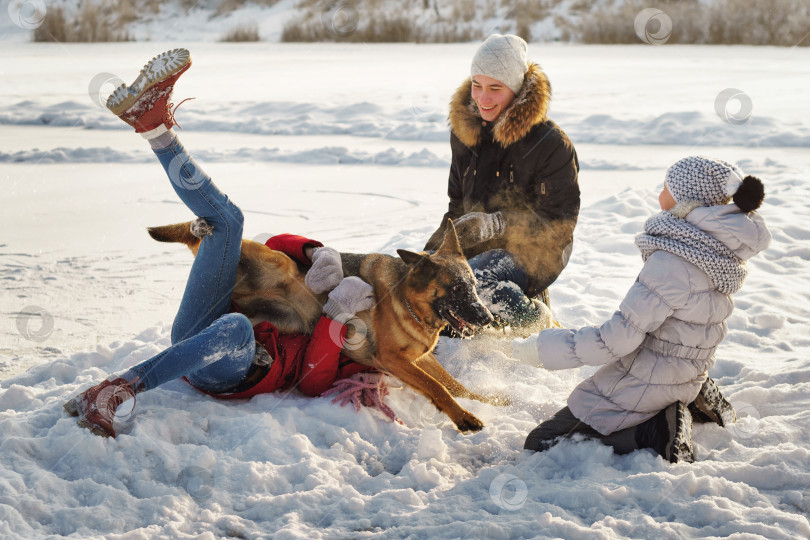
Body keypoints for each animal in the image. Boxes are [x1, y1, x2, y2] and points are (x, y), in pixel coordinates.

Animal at [148, 219, 496, 430]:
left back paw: (260, 350)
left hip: (271, 315)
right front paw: (464, 417)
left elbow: (454, 384)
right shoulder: (392, 358)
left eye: (473, 285)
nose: (488, 318)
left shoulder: (418, 358)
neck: (407, 300)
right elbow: (437, 387)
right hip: (277, 262)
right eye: (456, 289)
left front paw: (490, 402)